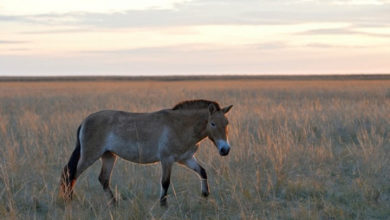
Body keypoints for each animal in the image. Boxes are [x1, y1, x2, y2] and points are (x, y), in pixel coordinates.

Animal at [59, 99, 233, 206]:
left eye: (227, 123)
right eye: (213, 123)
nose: (225, 149)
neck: (180, 126)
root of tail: (85, 121)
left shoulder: (186, 158)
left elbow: (202, 172)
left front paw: (205, 194)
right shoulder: (167, 160)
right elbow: (165, 182)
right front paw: (163, 205)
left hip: (108, 156)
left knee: (103, 179)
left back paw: (114, 203)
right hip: (90, 155)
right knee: (71, 174)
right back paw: (69, 200)